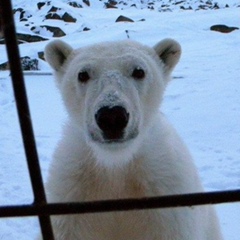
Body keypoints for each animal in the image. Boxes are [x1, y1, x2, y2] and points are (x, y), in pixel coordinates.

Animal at [42, 38, 223, 239]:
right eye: (82, 74)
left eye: (139, 71)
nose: (111, 116)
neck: (116, 164)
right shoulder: (73, 197)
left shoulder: (166, 199)